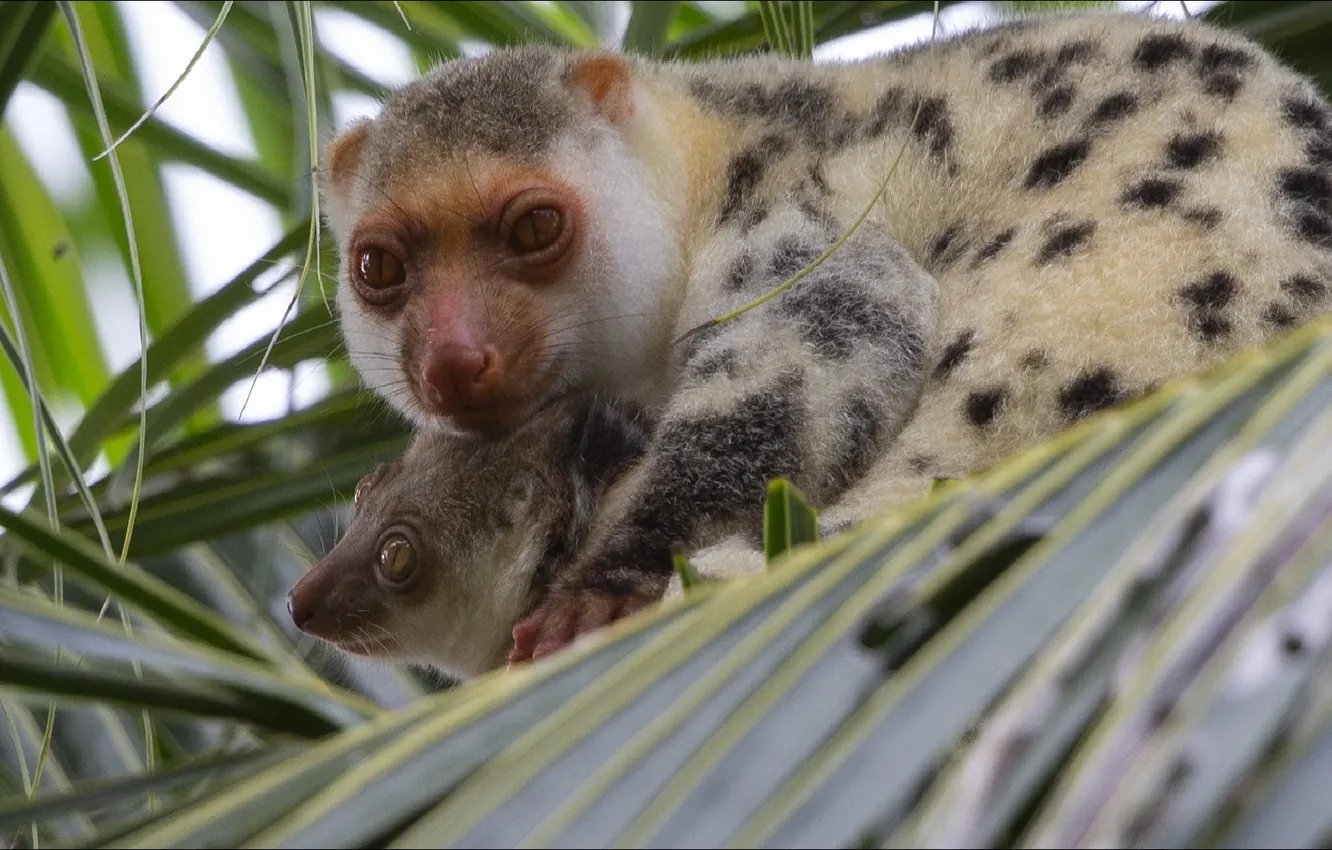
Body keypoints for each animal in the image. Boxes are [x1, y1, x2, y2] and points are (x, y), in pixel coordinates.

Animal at [319, 10, 1332, 663]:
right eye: (379, 268)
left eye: (534, 228)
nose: (454, 360)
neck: (714, 155)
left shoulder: (786, 216)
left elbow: (829, 328)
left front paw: (605, 581)